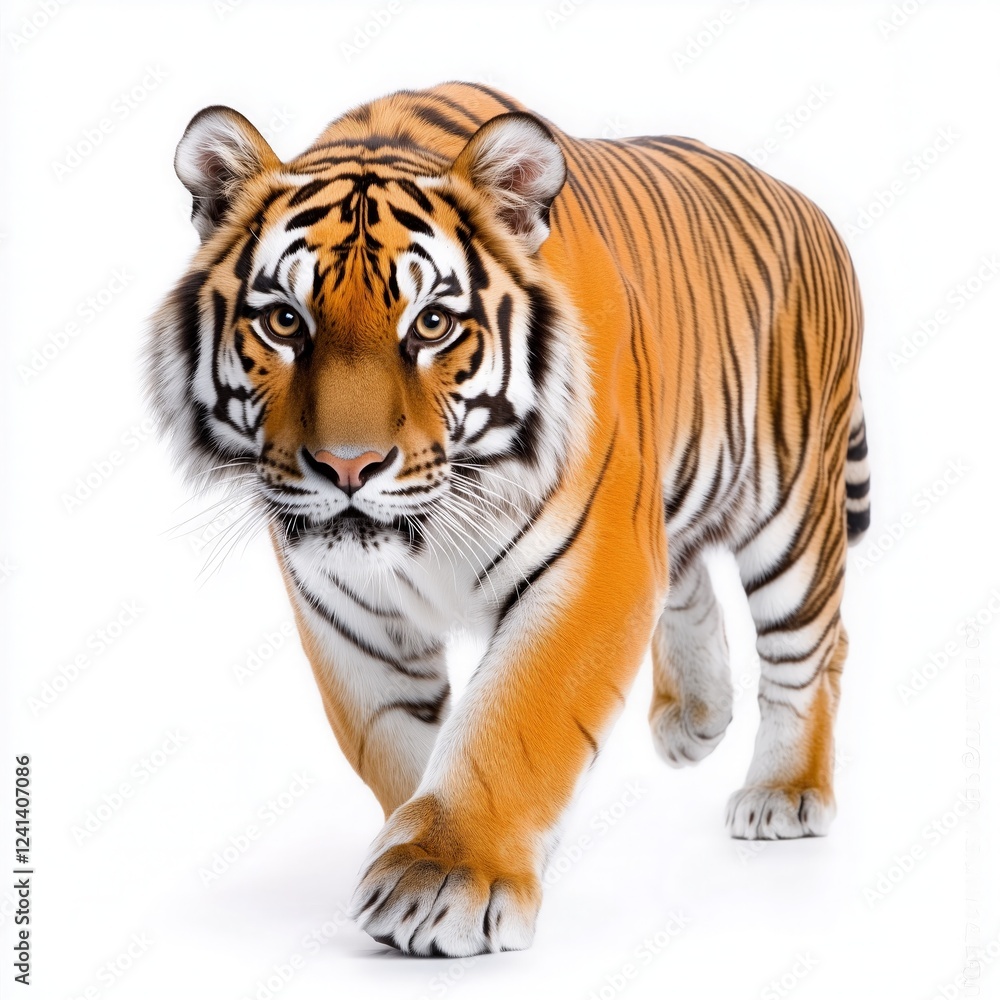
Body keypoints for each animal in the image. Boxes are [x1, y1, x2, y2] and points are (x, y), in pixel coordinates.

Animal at [145, 81, 870, 957]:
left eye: (431, 324)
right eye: (285, 322)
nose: (349, 467)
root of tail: (806, 204)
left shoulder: (593, 561)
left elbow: (512, 724)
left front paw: (444, 876)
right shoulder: (346, 611)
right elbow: (398, 741)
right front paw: (413, 846)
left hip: (795, 507)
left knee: (812, 648)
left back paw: (785, 793)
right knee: (687, 569)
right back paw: (695, 718)